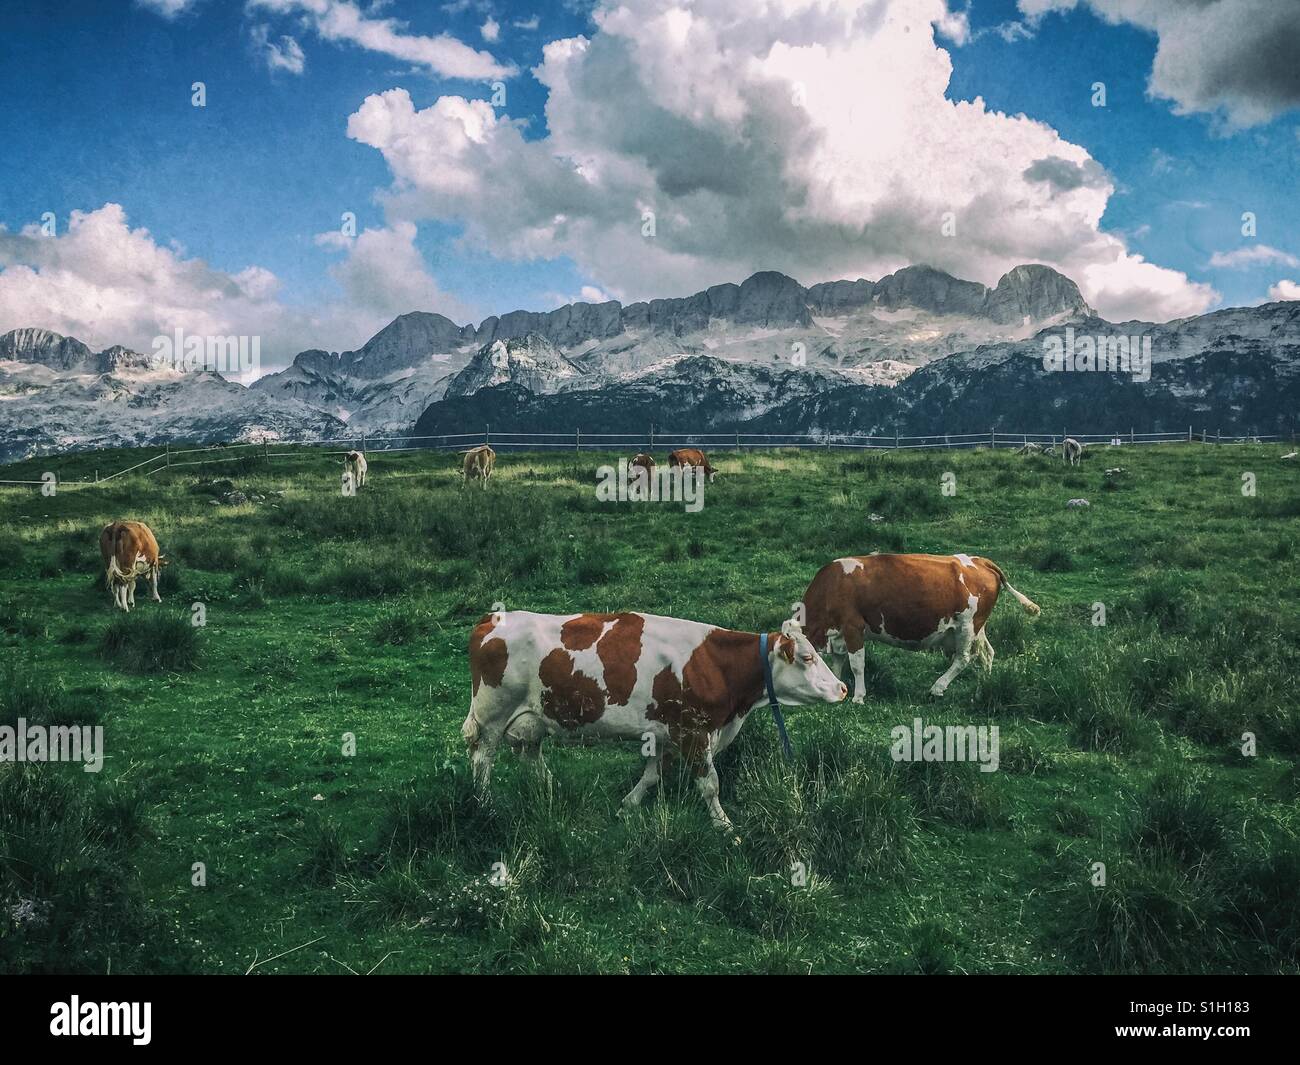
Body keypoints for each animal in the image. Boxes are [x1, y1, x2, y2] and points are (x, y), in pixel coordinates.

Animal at [462, 611, 847, 827]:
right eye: (808, 657)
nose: (843, 688)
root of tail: (489, 620)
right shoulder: (693, 730)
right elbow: (710, 784)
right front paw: (724, 826)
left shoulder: (664, 730)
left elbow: (652, 774)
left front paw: (627, 806)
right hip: (492, 715)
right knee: (482, 759)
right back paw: (484, 805)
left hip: (533, 717)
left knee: (530, 754)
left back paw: (552, 791)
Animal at [795, 553, 1040, 702]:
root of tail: (981, 561)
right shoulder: (838, 634)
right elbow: (837, 661)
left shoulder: (853, 626)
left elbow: (856, 664)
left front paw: (858, 697)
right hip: (978, 627)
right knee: (986, 654)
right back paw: (982, 691)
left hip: (967, 625)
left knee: (964, 658)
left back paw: (938, 688)